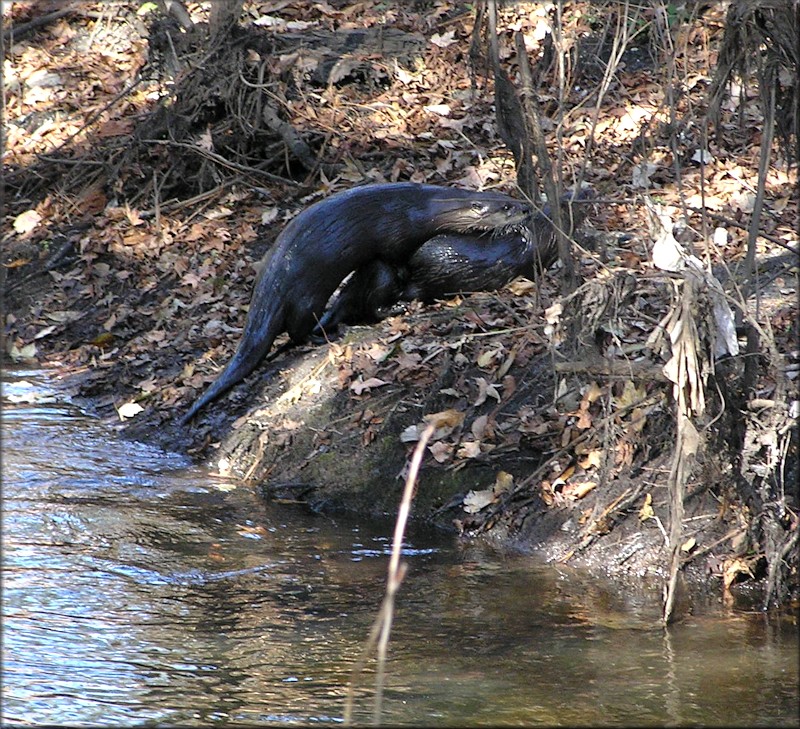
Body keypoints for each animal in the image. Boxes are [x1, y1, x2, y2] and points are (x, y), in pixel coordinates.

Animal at [181, 182, 532, 420]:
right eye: (507, 208)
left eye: (510, 199)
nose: (526, 208)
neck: (422, 208)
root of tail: (271, 280)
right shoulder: (396, 235)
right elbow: (396, 258)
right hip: (308, 293)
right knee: (298, 328)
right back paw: (324, 334)